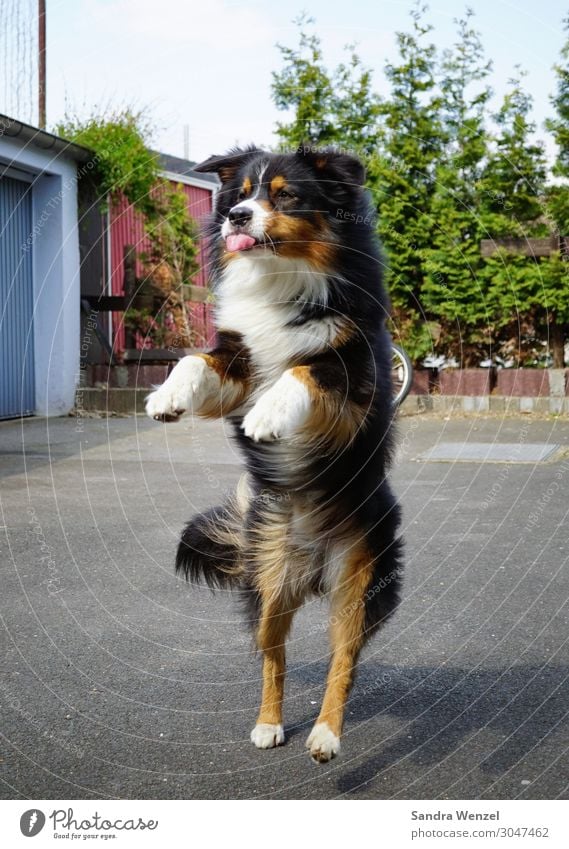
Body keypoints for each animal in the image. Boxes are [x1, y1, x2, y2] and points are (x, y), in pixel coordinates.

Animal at [146, 144, 404, 760]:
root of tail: (311, 567)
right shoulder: (240, 356)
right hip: (266, 580)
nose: (238, 217)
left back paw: (325, 736)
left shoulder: (356, 379)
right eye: (241, 193)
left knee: (343, 661)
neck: (283, 275)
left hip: (359, 578)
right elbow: (195, 359)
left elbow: (305, 369)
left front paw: (268, 415)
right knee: (274, 656)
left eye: (286, 196)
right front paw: (165, 397)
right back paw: (269, 725)